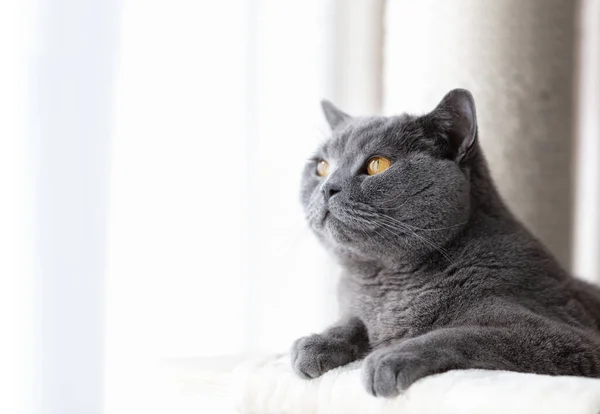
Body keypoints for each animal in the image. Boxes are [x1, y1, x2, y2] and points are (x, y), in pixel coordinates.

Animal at [292, 90, 600, 398]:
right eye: (321, 167)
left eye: (377, 164)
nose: (327, 188)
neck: (386, 284)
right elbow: (354, 321)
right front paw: (315, 343)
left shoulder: (568, 336)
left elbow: (465, 334)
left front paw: (388, 357)